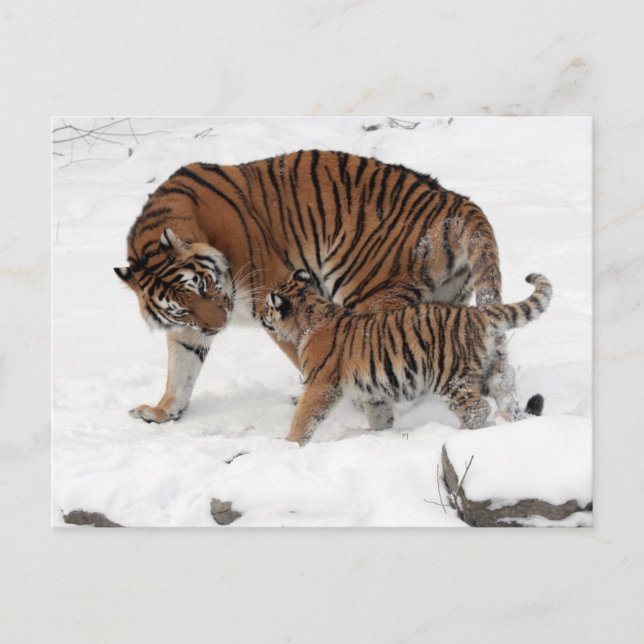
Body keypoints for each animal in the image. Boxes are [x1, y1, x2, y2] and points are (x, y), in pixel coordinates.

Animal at [114, 149, 531, 425]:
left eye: (202, 285)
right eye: (181, 307)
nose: (218, 326)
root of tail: (456, 202)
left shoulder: (275, 296)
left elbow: (308, 357)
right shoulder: (189, 329)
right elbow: (181, 369)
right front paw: (162, 412)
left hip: (367, 291)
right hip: (448, 300)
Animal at [260, 269, 552, 444]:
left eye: (267, 306)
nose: (261, 315)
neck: (310, 317)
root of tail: (477, 313)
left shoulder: (321, 384)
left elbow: (304, 416)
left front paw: (289, 443)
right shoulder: (372, 391)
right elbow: (379, 414)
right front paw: (378, 434)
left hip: (450, 377)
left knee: (477, 408)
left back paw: (458, 435)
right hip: (494, 370)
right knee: (507, 395)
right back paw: (515, 424)